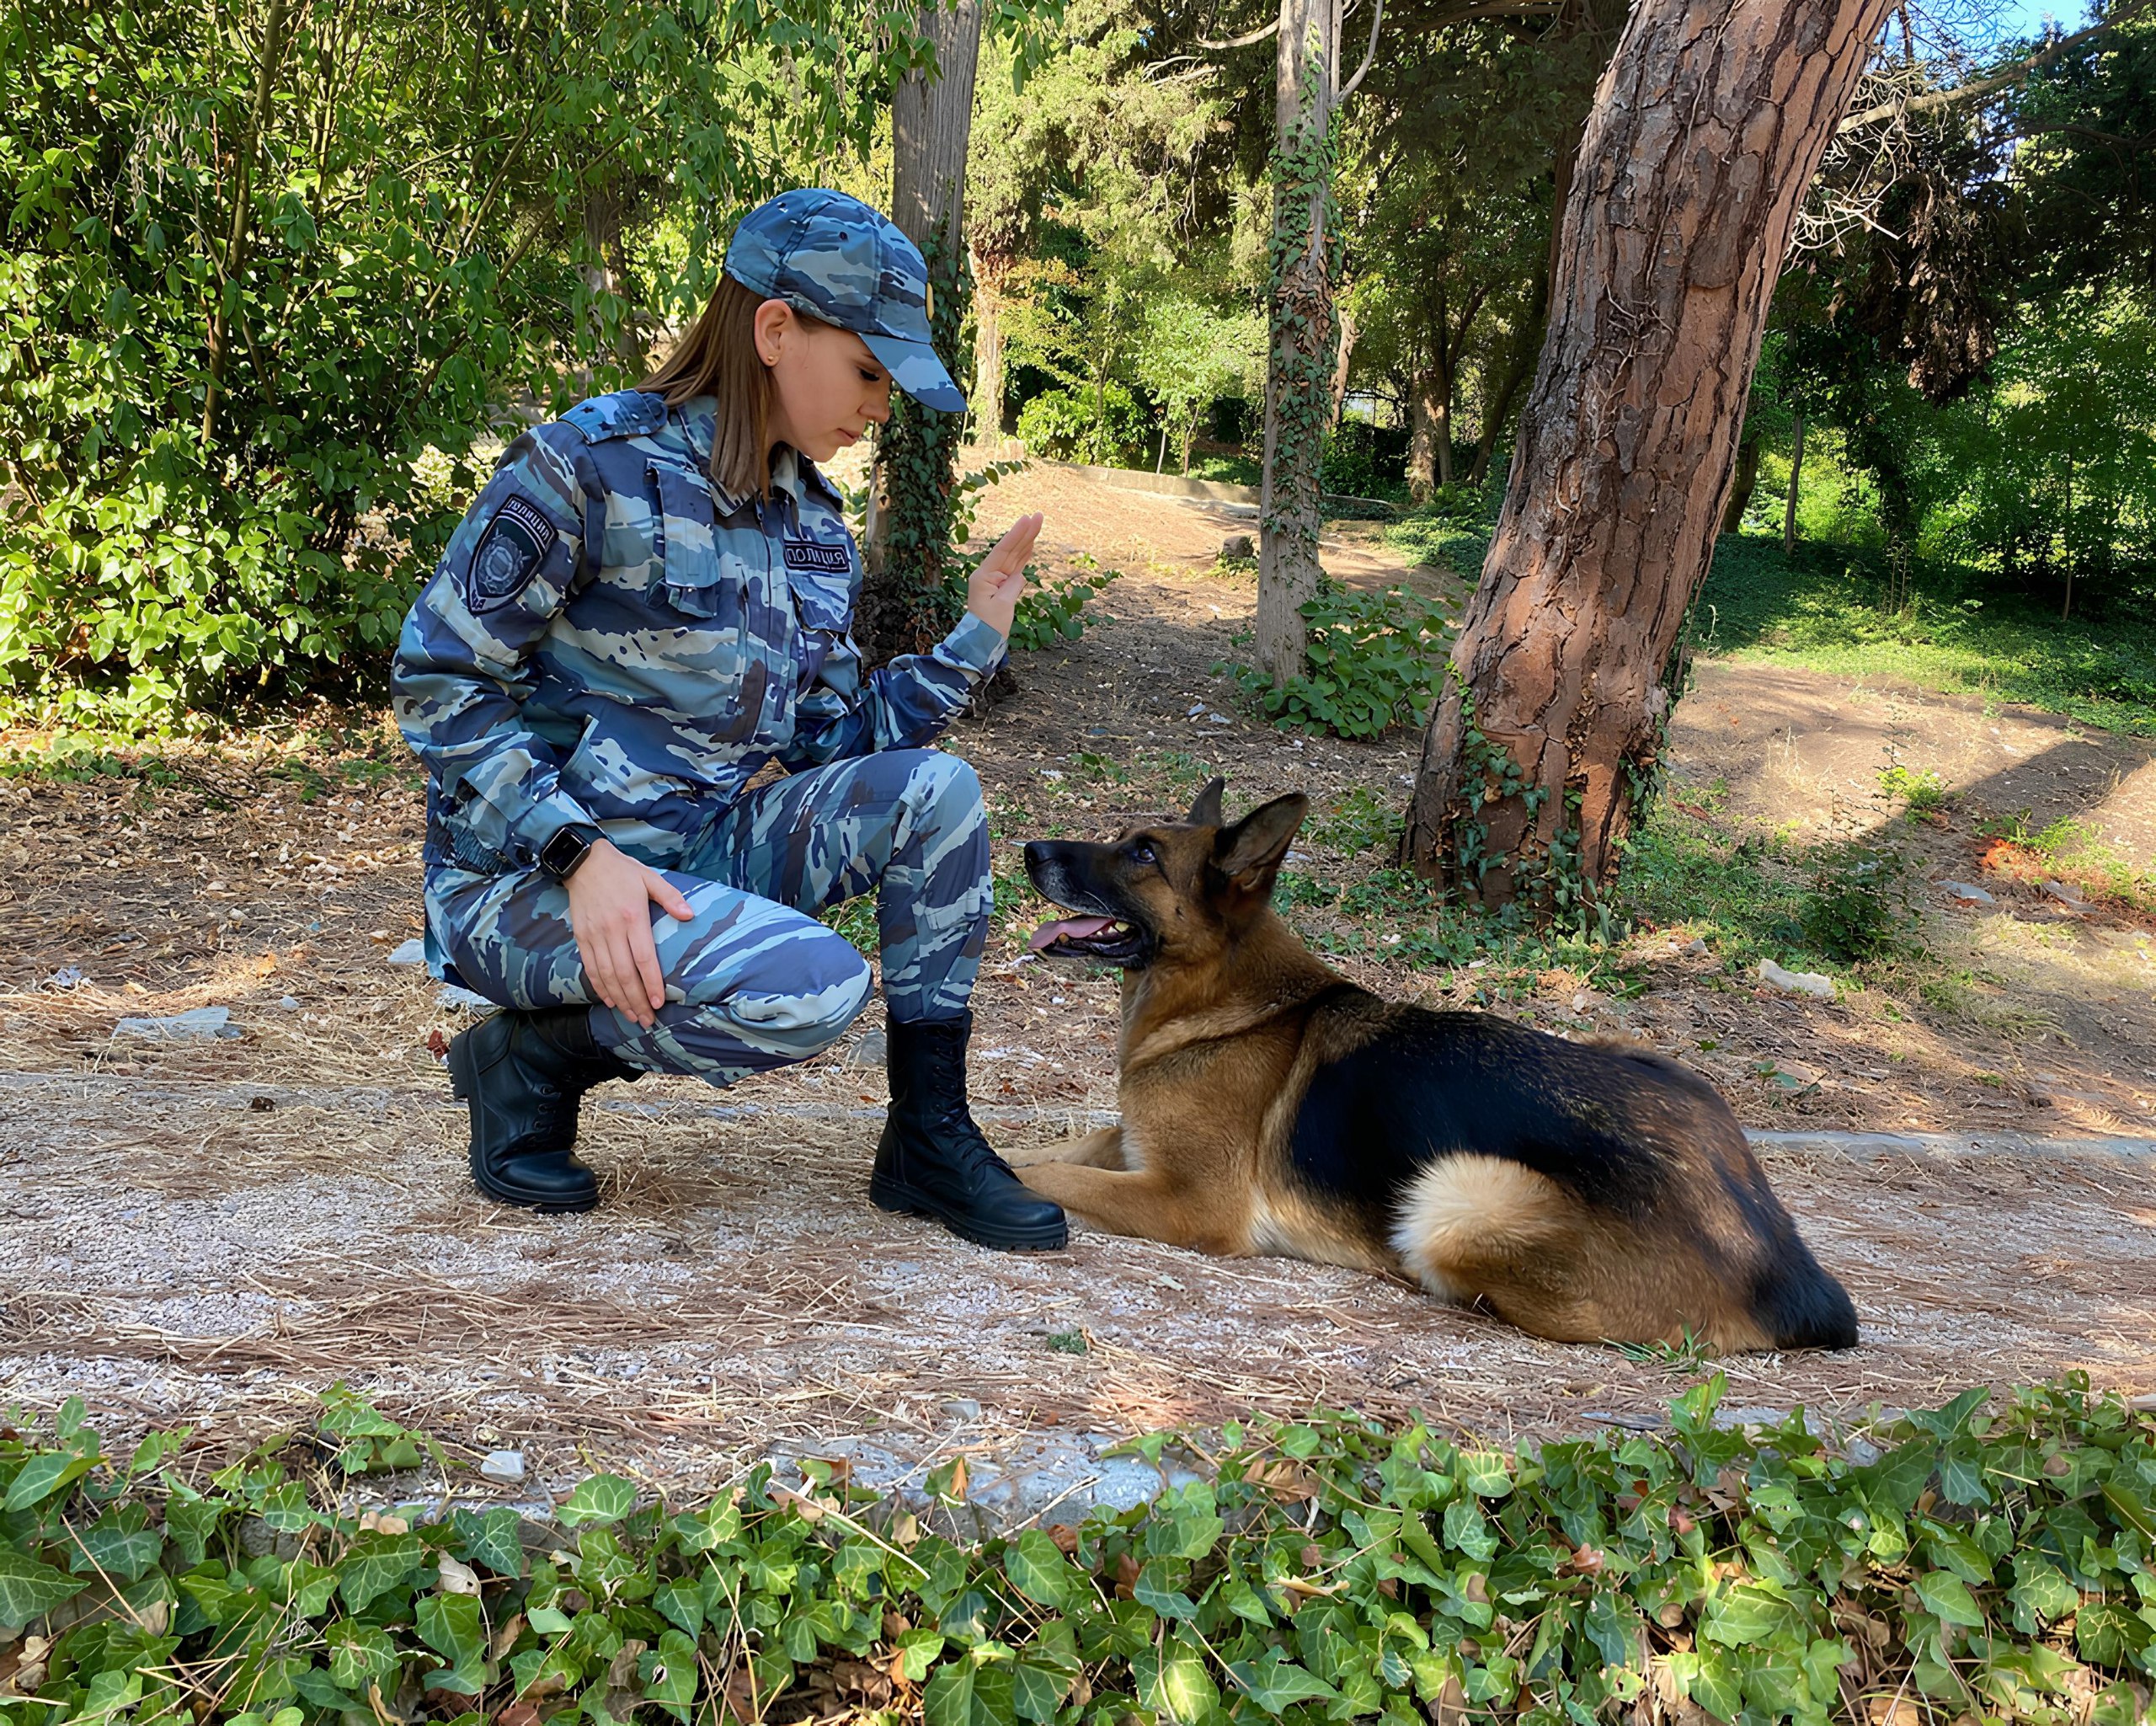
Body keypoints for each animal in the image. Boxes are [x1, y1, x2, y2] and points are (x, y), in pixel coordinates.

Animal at [1017, 777, 1862, 1355]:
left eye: (1144, 854)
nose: (1030, 849)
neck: (1224, 997)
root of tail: (1792, 1270)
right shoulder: (1130, 1144)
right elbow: (1042, 1148)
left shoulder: (1183, 1200)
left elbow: (1055, 1174)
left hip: (1456, 1191)